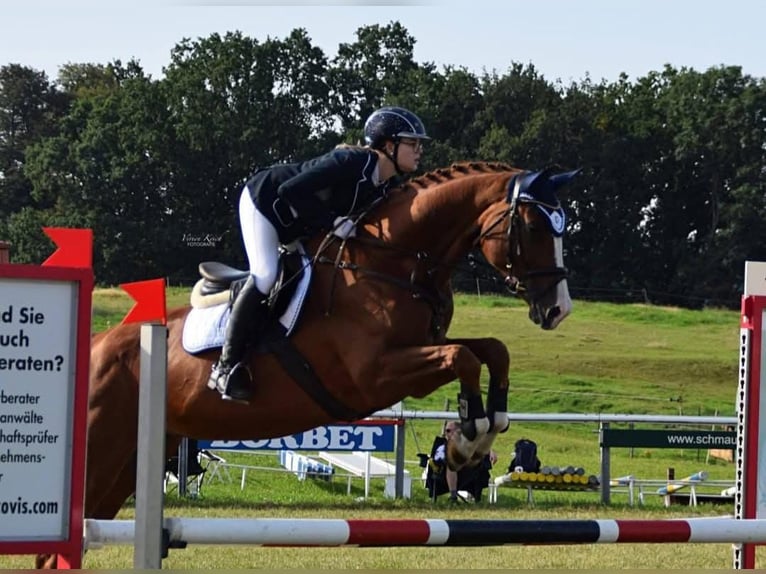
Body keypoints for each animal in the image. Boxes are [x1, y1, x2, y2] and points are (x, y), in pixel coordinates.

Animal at [37, 161, 577, 568]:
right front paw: (466, 443)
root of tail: (95, 346)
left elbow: (491, 349)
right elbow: (463, 357)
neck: (391, 263)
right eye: (532, 227)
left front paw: (487, 425)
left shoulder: (417, 354)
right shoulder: (374, 376)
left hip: (128, 461)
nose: (558, 310)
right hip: (100, 451)